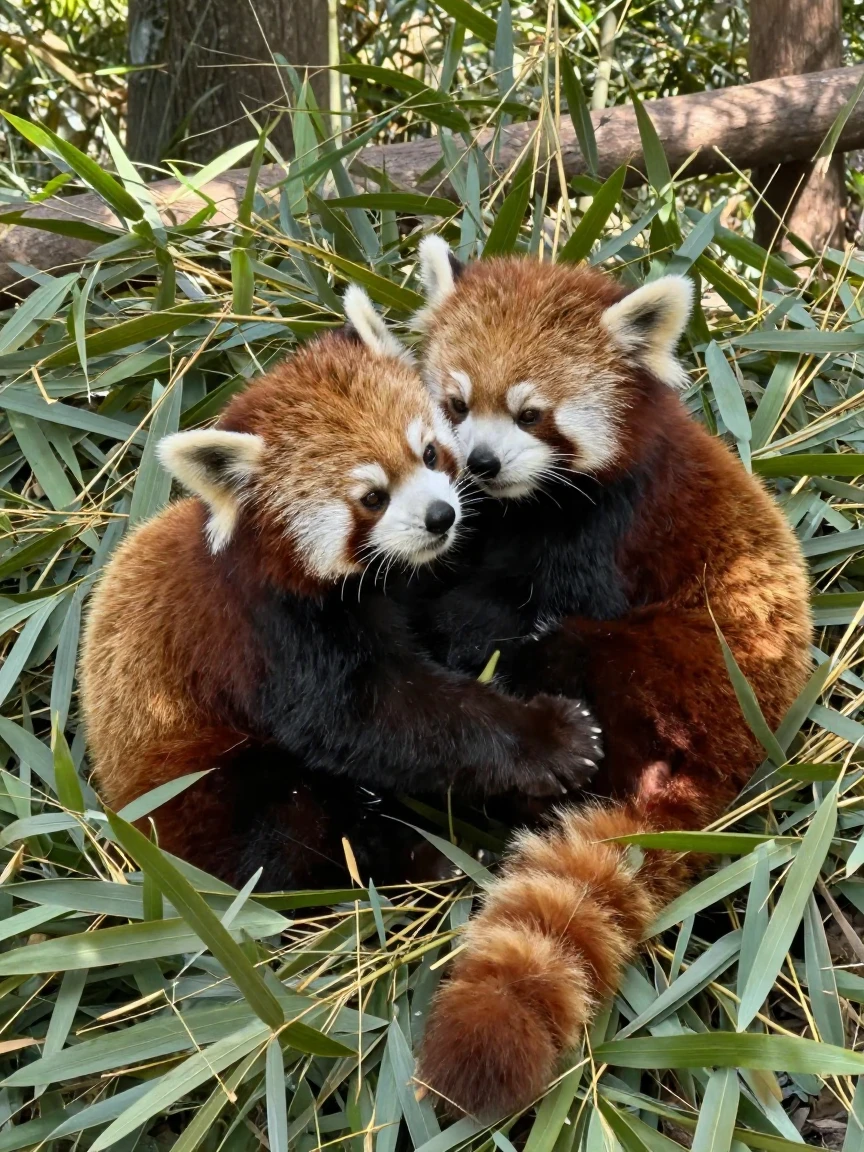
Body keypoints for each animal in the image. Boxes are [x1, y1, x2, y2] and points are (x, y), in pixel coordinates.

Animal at [79, 287, 600, 891]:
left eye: (429, 453)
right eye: (373, 497)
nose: (441, 516)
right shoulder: (275, 632)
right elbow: (375, 717)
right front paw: (552, 738)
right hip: (204, 783)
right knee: (284, 828)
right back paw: (417, 862)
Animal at [405, 240, 812, 1117]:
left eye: (530, 413)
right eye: (456, 404)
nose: (481, 463)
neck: (530, 506)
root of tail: (727, 763)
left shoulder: (614, 526)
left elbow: (520, 604)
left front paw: (460, 632)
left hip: (677, 665)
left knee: (576, 654)